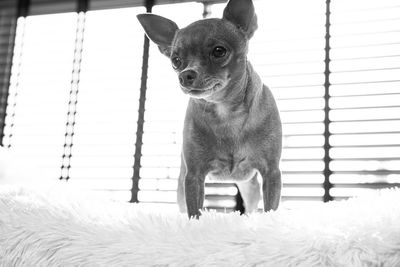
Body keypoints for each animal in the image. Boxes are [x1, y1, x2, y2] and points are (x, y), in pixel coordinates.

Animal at [138, 0, 282, 219]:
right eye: (176, 61)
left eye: (219, 51)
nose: (185, 75)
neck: (226, 112)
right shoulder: (193, 176)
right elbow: (194, 212)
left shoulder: (271, 172)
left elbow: (271, 208)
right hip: (182, 185)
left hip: (249, 186)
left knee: (251, 204)